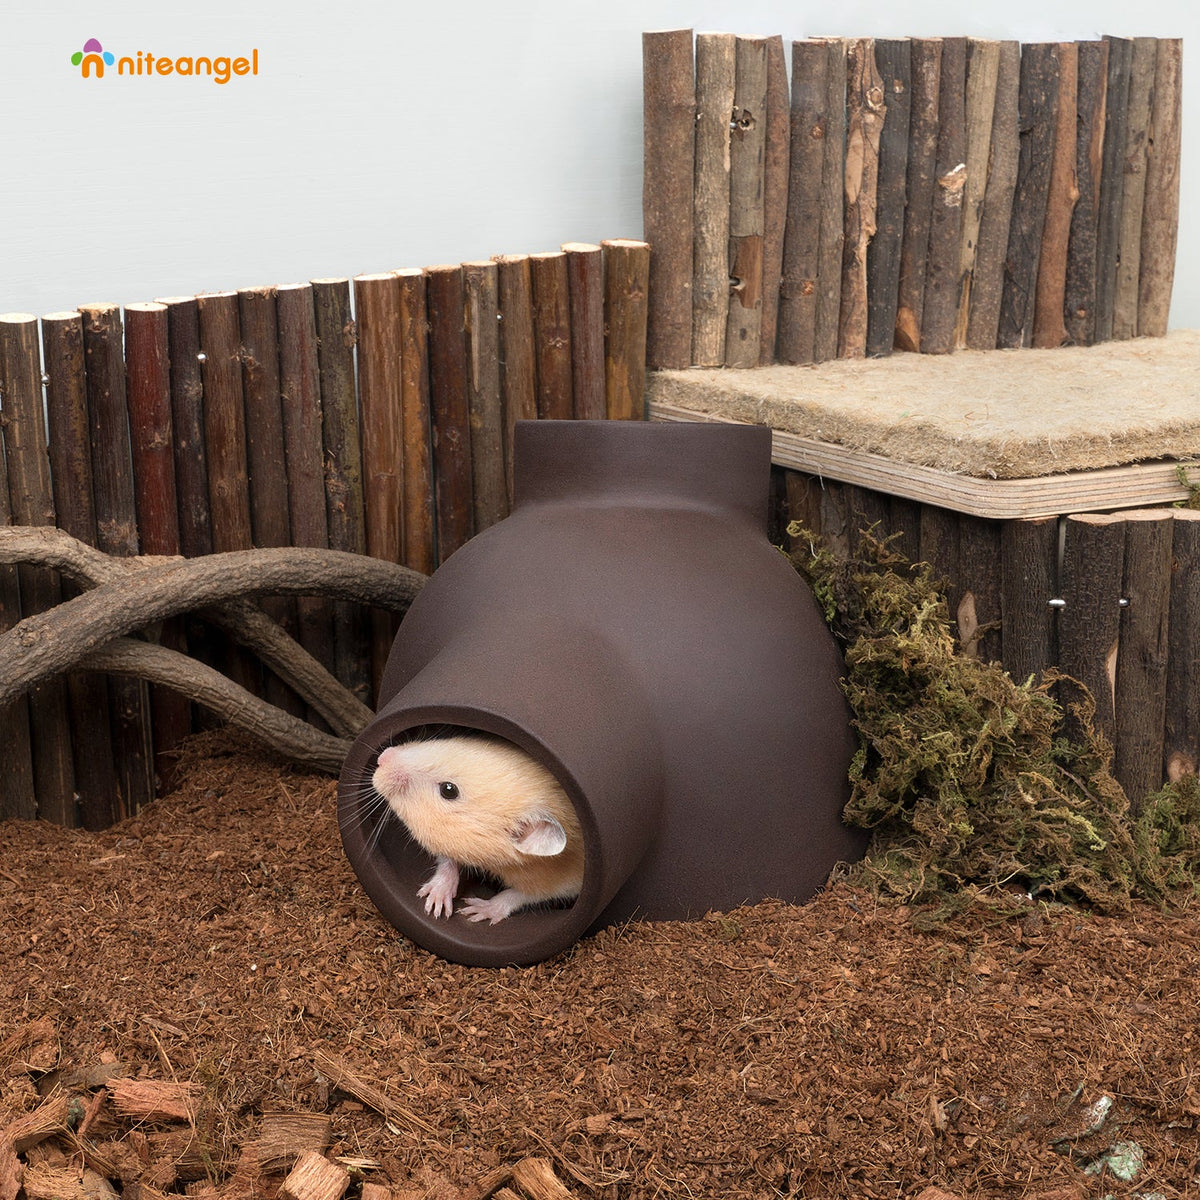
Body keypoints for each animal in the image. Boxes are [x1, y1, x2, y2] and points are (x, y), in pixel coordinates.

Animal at [371, 731, 584, 924]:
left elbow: (521, 895)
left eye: (449, 790)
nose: (382, 757)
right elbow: (448, 859)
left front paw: (472, 912)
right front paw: (435, 903)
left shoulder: (564, 881)